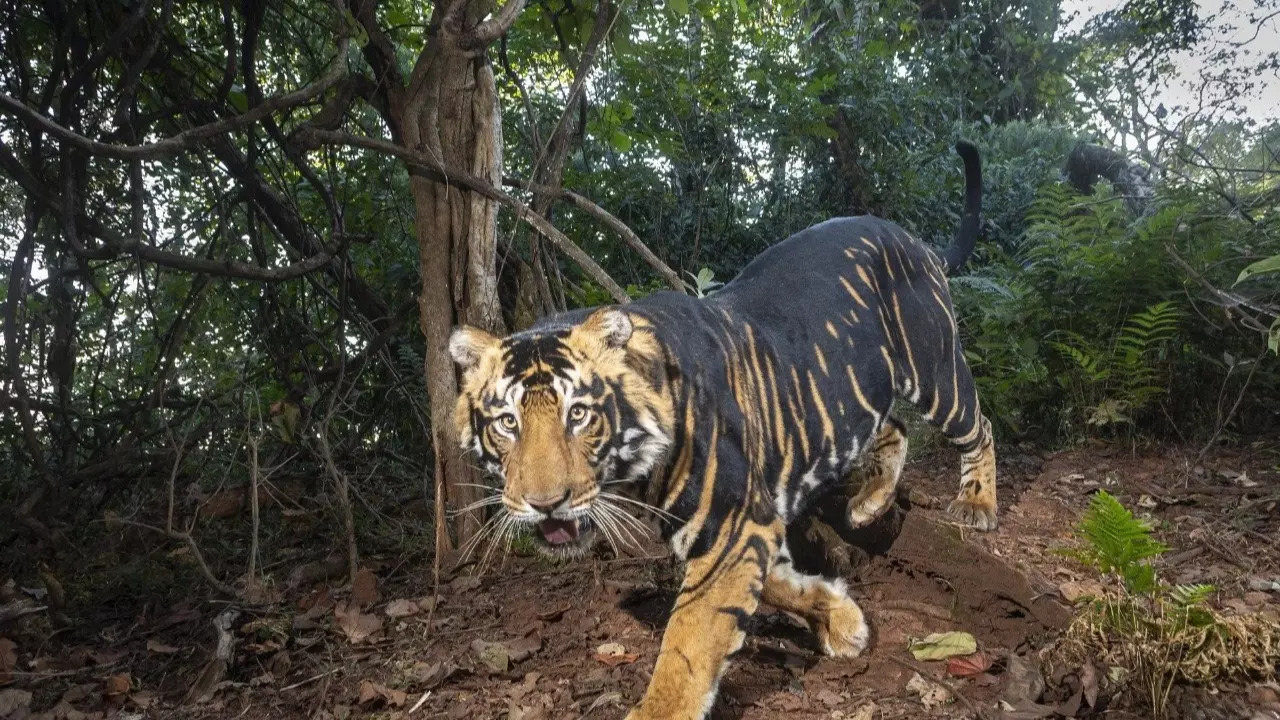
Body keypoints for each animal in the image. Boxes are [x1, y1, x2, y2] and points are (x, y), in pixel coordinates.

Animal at [450, 140, 998, 717]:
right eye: (507, 423)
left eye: (578, 414)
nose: (545, 503)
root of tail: (912, 238)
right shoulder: (743, 526)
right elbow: (777, 583)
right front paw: (841, 618)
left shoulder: (733, 526)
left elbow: (689, 641)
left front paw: (658, 707)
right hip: (860, 388)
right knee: (892, 426)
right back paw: (869, 503)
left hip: (935, 368)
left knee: (979, 425)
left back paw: (977, 504)